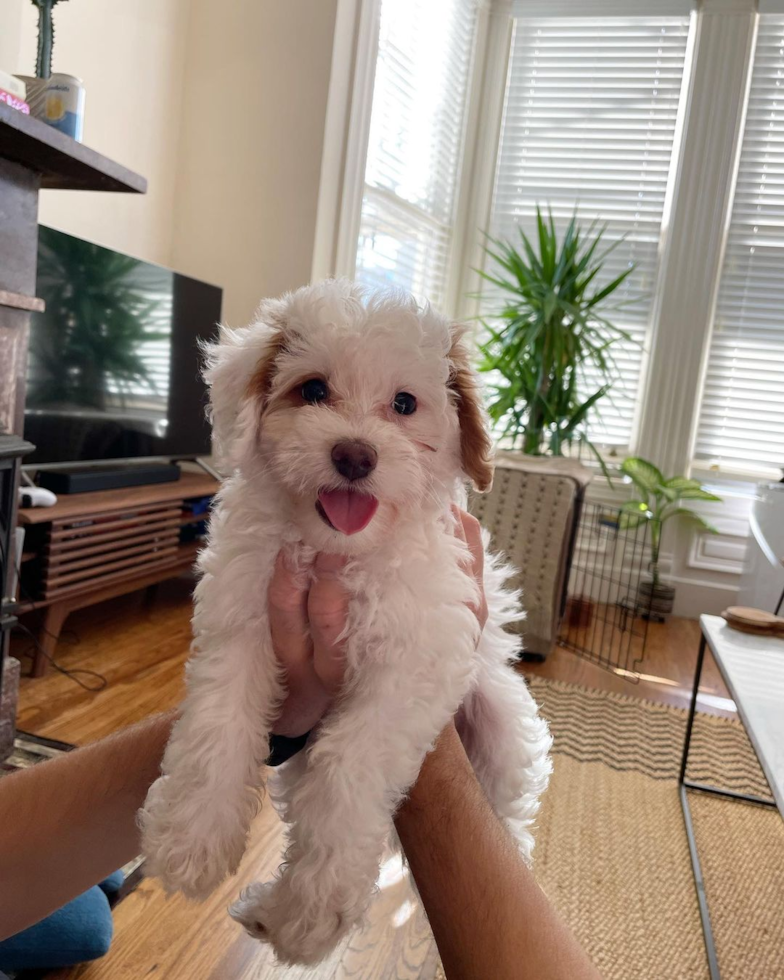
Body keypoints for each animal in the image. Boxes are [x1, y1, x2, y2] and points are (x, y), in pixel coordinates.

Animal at [139, 276, 552, 964]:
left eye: (405, 404)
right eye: (311, 390)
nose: (355, 455)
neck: (334, 552)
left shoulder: (414, 659)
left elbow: (346, 766)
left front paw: (315, 909)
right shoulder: (241, 621)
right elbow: (217, 728)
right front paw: (188, 841)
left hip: (501, 729)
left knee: (509, 821)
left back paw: (287, 913)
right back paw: (265, 909)